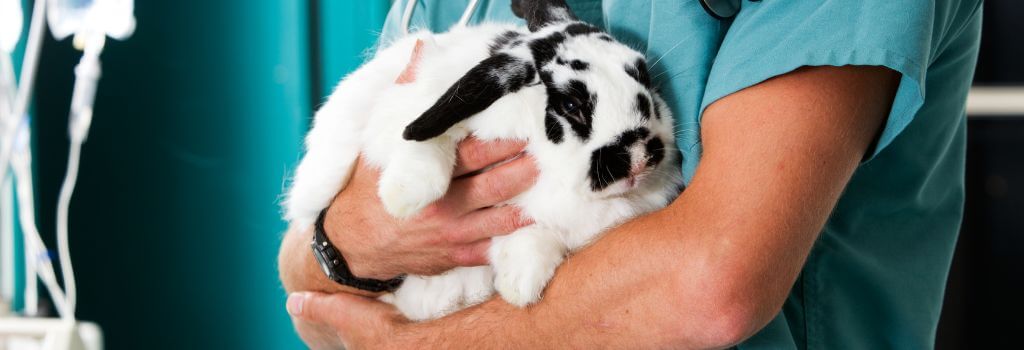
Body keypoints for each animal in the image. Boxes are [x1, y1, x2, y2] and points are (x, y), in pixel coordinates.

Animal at [284, 0, 684, 319]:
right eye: (571, 104)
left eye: (645, 78)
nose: (638, 158)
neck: (551, 168)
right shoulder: (415, 107)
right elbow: (427, 137)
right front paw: (405, 197)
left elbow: (535, 234)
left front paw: (520, 284)